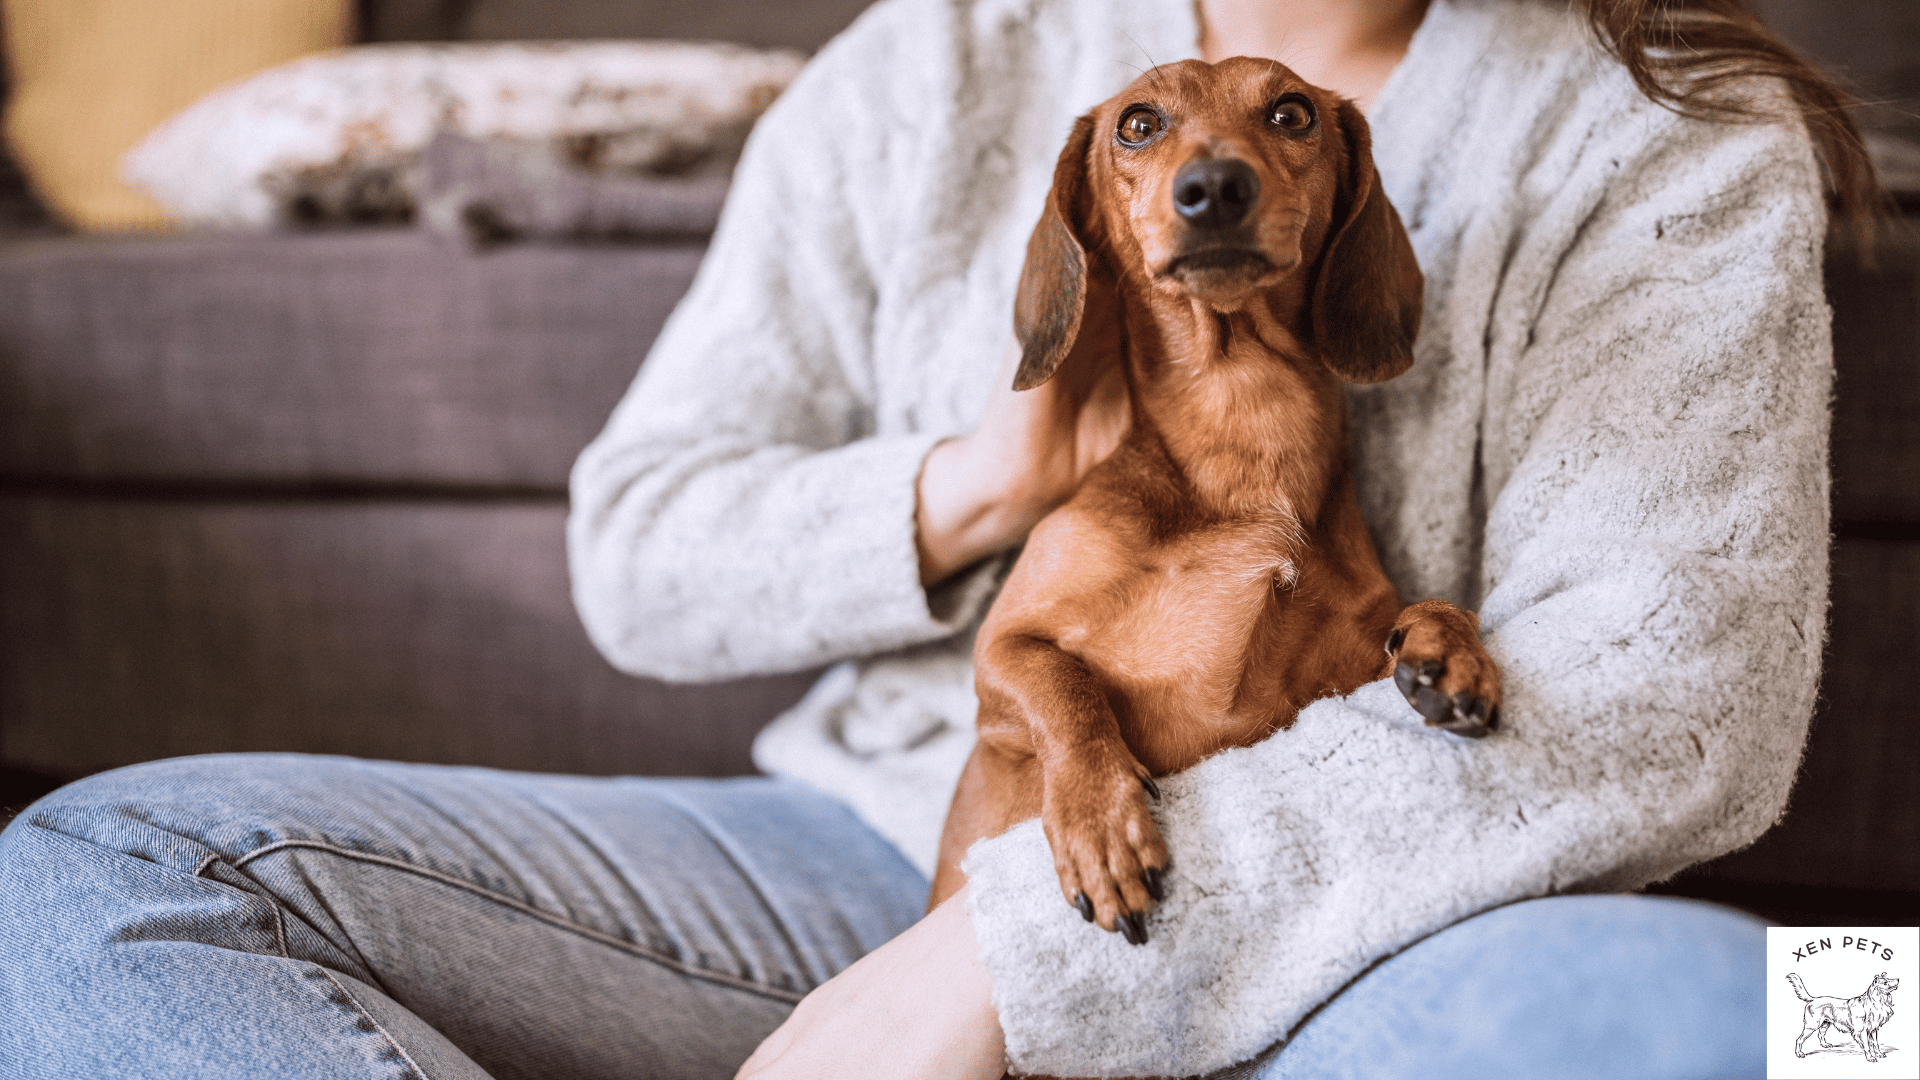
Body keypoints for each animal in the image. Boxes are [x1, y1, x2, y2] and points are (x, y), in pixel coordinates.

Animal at [929, 58, 1497, 937]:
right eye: (1137, 124)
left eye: (1292, 112)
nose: (1215, 187)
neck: (1243, 423)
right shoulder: (1003, 650)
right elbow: (1066, 690)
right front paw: (1101, 823)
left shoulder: (1331, 683)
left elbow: (1434, 606)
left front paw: (1452, 653)